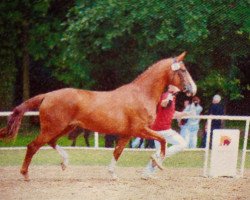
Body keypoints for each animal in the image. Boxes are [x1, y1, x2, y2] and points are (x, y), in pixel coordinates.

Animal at [0, 51, 196, 180]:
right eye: (183, 70)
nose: (193, 89)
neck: (141, 94)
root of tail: (47, 95)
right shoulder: (140, 130)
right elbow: (162, 141)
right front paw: (158, 162)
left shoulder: (127, 134)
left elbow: (117, 152)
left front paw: (113, 174)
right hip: (53, 128)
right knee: (33, 146)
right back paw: (25, 174)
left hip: (65, 128)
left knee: (51, 143)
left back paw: (64, 163)